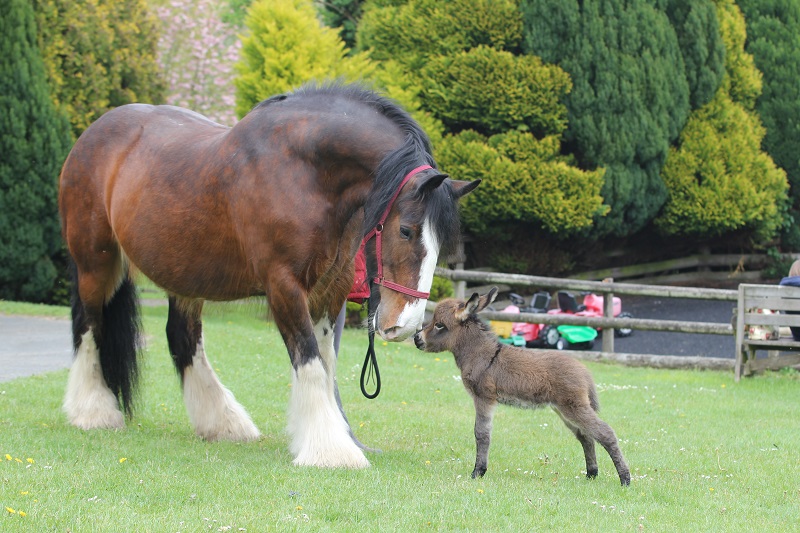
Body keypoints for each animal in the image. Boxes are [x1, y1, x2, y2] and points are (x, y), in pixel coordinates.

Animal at [58, 82, 480, 468]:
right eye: (406, 230)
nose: (403, 325)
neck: (304, 172)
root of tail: (93, 134)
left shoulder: (331, 291)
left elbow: (326, 364)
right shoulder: (284, 288)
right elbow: (309, 361)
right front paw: (332, 450)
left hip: (184, 275)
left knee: (182, 338)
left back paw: (223, 423)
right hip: (96, 264)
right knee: (89, 327)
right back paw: (93, 411)